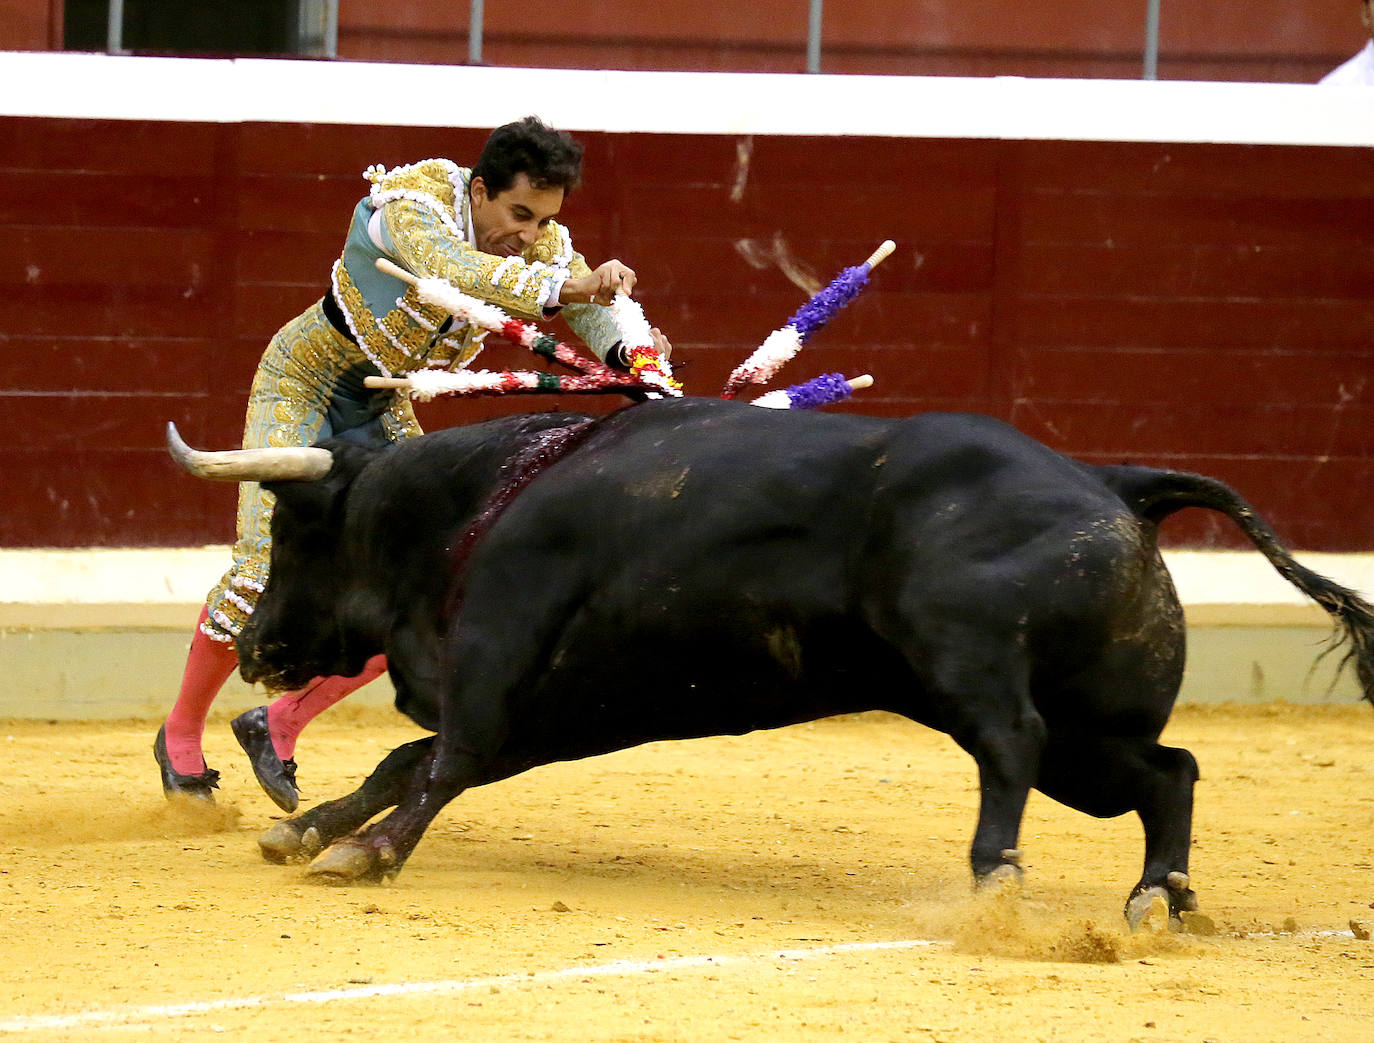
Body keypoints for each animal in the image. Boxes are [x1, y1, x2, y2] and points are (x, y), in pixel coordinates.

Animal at [169, 395, 1374, 923]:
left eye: (299, 528)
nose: (261, 647)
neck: (481, 499)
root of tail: (1117, 480)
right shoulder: (552, 710)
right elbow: (408, 762)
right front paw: (308, 826)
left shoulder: (499, 663)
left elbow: (442, 758)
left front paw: (361, 853)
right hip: (1096, 728)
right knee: (1169, 771)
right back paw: (1158, 896)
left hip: (964, 658)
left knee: (1011, 743)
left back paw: (995, 877)